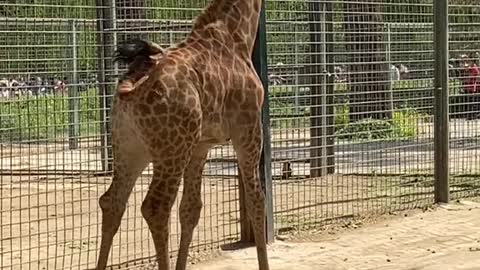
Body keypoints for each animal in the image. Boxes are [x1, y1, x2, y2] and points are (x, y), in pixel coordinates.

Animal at [95, 0, 272, 268]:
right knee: (155, 207)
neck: (237, 35)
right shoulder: (249, 130)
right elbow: (257, 201)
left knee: (112, 202)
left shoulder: (201, 145)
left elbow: (190, 209)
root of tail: (130, 89)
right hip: (172, 150)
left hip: (130, 149)